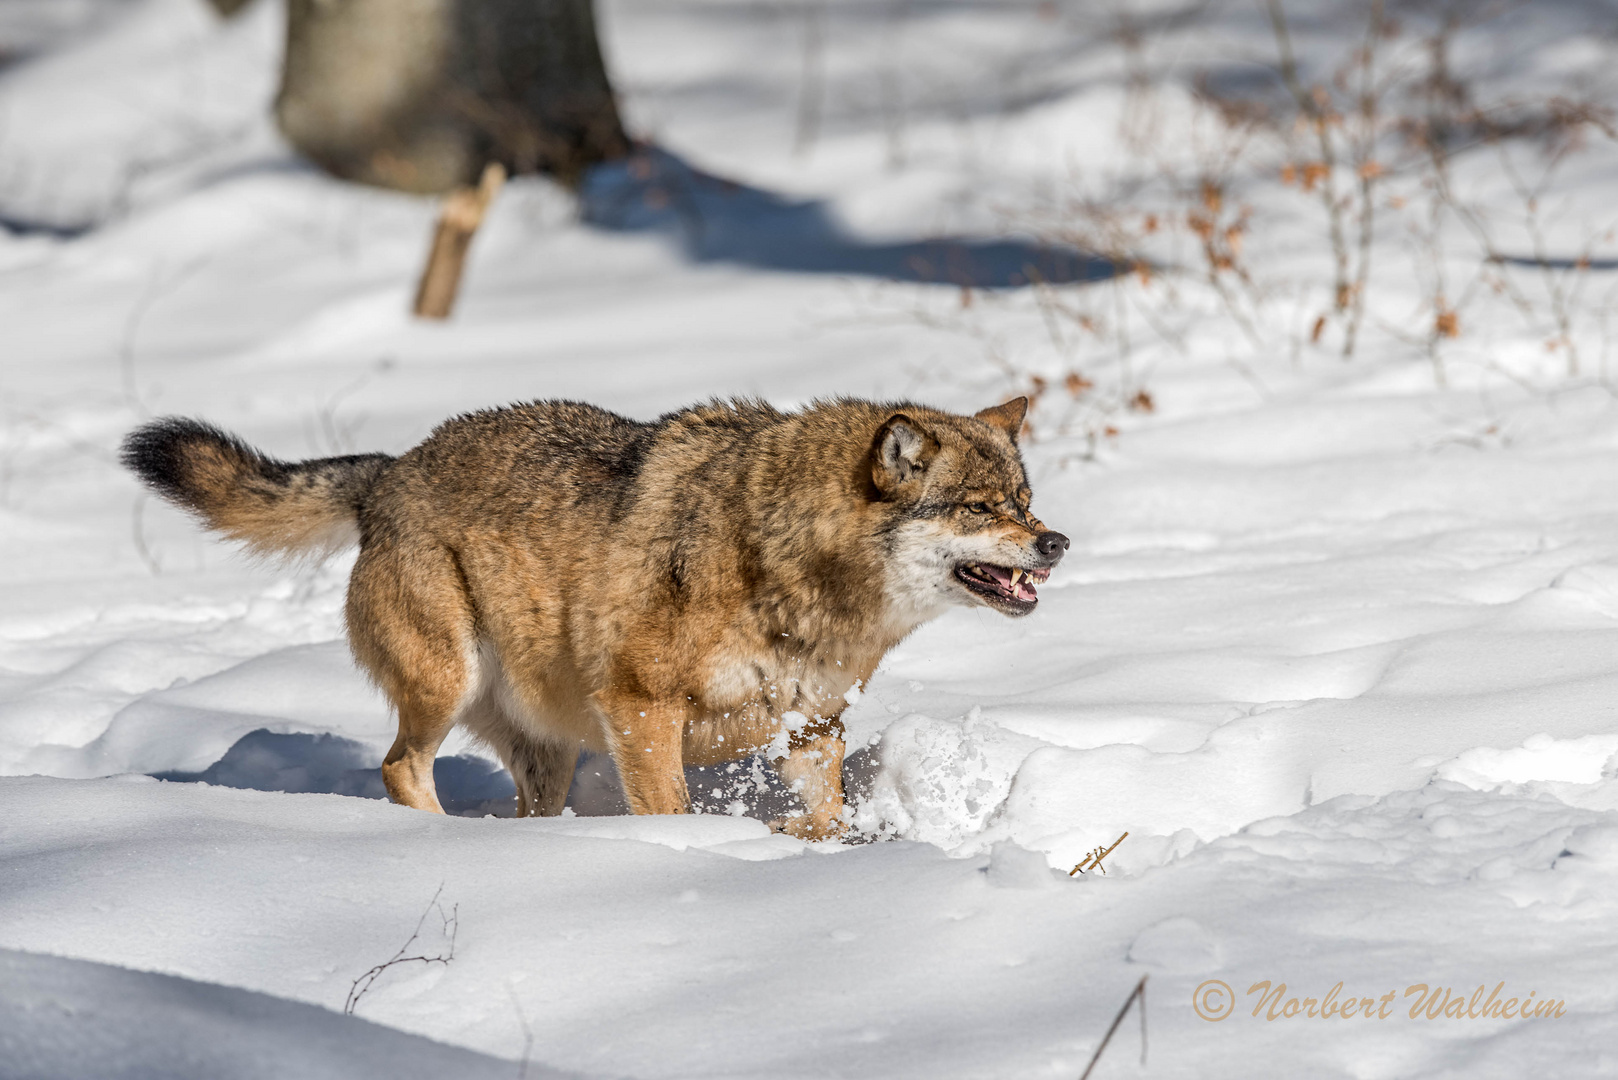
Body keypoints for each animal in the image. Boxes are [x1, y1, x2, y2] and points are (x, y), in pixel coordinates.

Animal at [122, 396, 1061, 835]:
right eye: (979, 508)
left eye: (1023, 500)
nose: (1056, 542)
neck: (784, 557)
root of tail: (390, 470)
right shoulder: (641, 706)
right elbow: (672, 812)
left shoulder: (812, 725)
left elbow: (827, 817)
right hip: (448, 682)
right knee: (397, 767)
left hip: (551, 747)